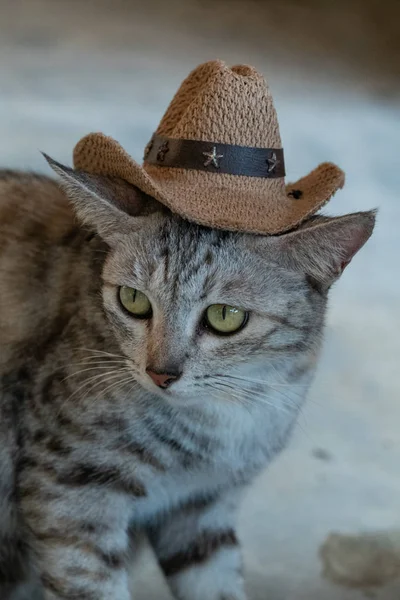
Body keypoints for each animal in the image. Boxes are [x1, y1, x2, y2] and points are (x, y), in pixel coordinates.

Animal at [0, 159, 376, 600]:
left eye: (226, 316)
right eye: (133, 300)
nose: (160, 373)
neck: (231, 414)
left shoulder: (201, 509)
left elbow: (218, 584)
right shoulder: (69, 487)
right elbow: (92, 583)